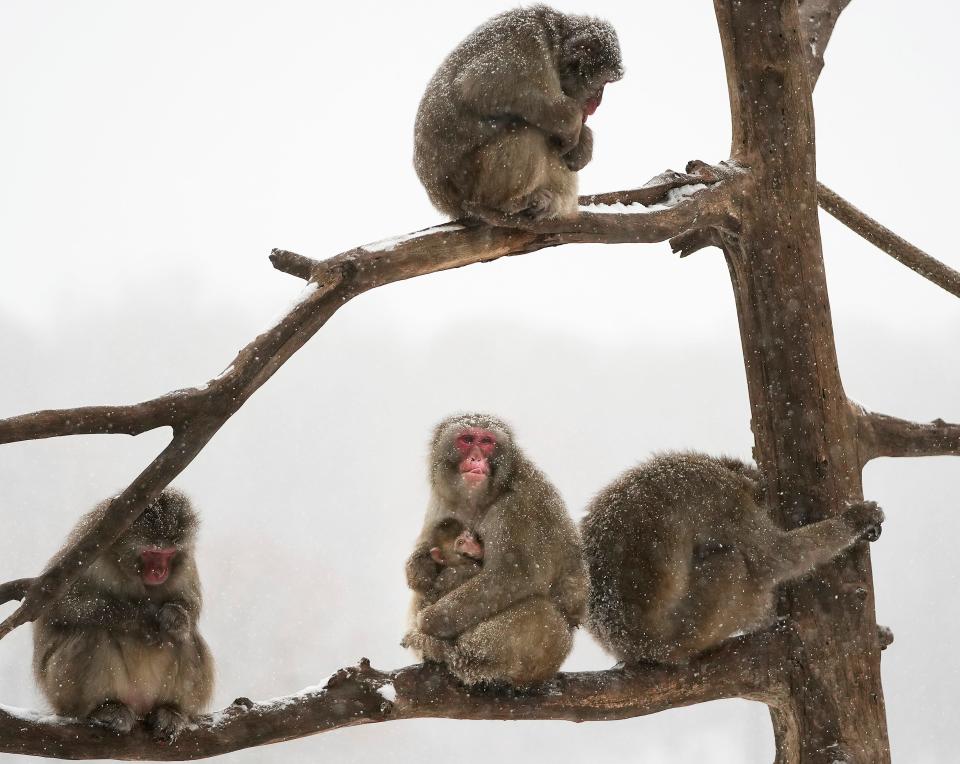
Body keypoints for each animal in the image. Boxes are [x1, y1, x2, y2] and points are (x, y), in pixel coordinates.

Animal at [33, 486, 216, 744]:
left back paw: (172, 711)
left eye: (169, 553)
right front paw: (143, 620)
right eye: (151, 553)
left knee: (185, 638)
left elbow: (189, 606)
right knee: (93, 632)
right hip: (60, 693)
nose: (160, 571)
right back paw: (105, 709)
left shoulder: (186, 562)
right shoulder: (85, 553)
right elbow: (57, 606)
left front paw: (175, 616)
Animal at [402, 414, 588, 688]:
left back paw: (459, 658)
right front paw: (419, 567)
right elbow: (426, 549)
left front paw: (428, 621)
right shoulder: (442, 498)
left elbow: (513, 574)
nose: (476, 458)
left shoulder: (516, 506)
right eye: (467, 439)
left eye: (487, 442)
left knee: (542, 614)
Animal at [414, 5, 628, 224]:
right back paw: (502, 204)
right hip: (468, 184)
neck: (553, 46)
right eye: (604, 83)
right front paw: (573, 126)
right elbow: (480, 87)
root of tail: (444, 203)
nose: (598, 103)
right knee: (525, 131)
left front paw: (584, 144)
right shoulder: (527, 46)